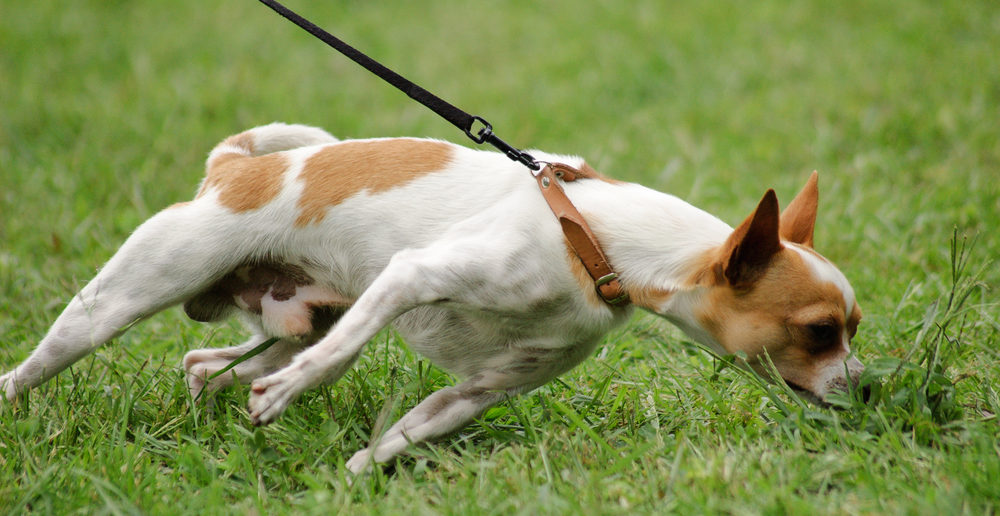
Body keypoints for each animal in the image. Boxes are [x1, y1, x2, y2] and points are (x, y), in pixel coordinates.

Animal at [0, 123, 864, 474]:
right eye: (821, 332)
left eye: (853, 329)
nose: (869, 390)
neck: (593, 238)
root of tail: (233, 167)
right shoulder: (413, 276)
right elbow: (340, 359)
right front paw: (295, 398)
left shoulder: (479, 391)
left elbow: (396, 441)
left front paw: (351, 480)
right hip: (117, 303)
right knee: (36, 366)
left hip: (295, 318)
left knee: (208, 364)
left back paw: (215, 395)